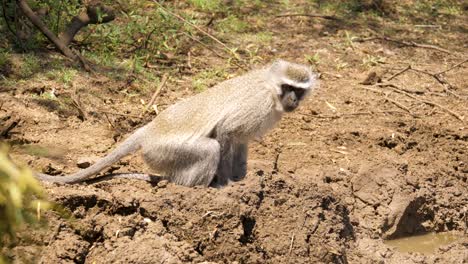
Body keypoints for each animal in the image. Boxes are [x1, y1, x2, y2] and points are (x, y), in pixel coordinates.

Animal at [37, 60, 318, 188]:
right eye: (287, 87)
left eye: (299, 90)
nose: (293, 99)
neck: (271, 92)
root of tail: (149, 130)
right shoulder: (256, 107)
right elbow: (226, 131)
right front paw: (226, 185)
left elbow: (240, 142)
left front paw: (242, 180)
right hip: (162, 152)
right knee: (210, 149)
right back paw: (192, 188)